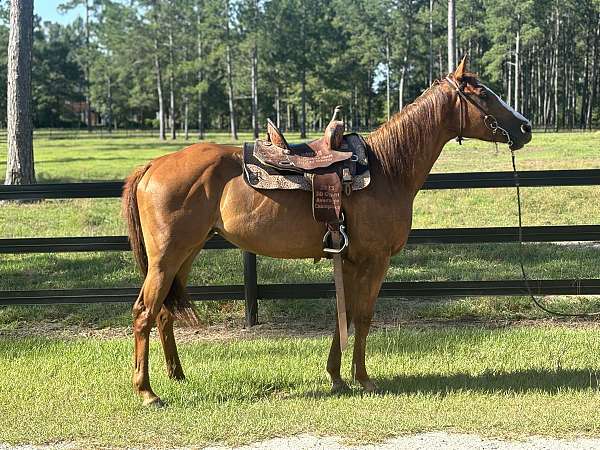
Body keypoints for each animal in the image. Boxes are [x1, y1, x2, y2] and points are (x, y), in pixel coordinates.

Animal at [122, 58, 528, 406]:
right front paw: (363, 379)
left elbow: (343, 314)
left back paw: (176, 375)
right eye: (484, 94)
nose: (525, 127)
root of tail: (152, 165)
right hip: (166, 258)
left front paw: (336, 377)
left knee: (163, 313)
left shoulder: (348, 259)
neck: (387, 170)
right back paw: (147, 392)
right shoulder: (374, 260)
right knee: (144, 312)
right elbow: (362, 316)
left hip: (186, 254)